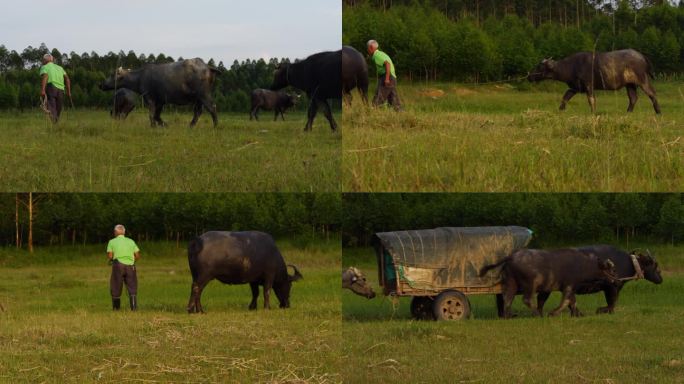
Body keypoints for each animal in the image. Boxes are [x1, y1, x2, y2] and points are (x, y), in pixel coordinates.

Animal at [478, 249, 616, 318]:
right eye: (610, 269)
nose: (616, 279)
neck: (583, 265)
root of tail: (510, 257)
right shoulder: (569, 286)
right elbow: (566, 301)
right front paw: (552, 313)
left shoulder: (565, 288)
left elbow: (572, 302)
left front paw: (579, 314)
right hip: (530, 284)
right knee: (526, 299)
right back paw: (537, 314)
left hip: (511, 283)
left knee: (507, 299)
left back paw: (509, 315)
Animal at [528, 49, 660, 114]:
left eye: (539, 67)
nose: (529, 76)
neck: (571, 66)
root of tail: (641, 56)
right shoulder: (575, 87)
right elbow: (565, 97)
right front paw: (560, 109)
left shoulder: (589, 86)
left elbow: (591, 100)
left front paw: (593, 112)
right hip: (630, 84)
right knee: (633, 98)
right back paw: (628, 112)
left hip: (642, 79)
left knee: (652, 93)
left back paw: (658, 111)